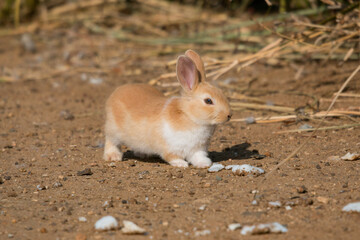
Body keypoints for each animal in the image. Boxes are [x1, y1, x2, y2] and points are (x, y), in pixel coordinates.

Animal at [102, 49, 232, 168]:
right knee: (110, 141)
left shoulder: (197, 149)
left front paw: (205, 164)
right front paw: (181, 164)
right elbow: (172, 157)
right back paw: (113, 156)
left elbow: (198, 157)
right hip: (113, 131)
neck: (188, 116)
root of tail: (117, 92)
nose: (229, 115)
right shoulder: (169, 148)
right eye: (208, 101)